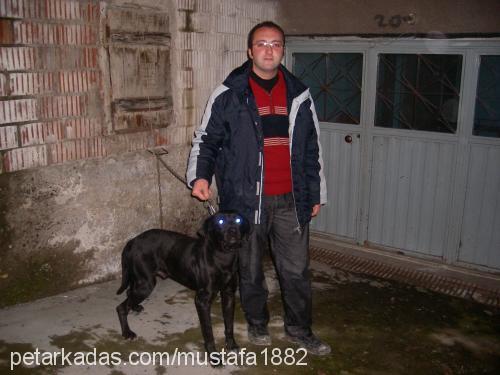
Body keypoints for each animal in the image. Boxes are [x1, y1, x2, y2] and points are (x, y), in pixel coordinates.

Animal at [117, 213, 250, 356]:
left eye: (238, 220)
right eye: (220, 221)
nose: (232, 231)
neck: (223, 257)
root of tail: (132, 241)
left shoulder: (229, 294)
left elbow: (229, 324)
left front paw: (231, 345)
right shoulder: (202, 300)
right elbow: (208, 331)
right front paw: (213, 354)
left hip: (140, 281)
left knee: (129, 292)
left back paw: (135, 307)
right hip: (146, 284)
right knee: (121, 307)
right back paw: (127, 332)